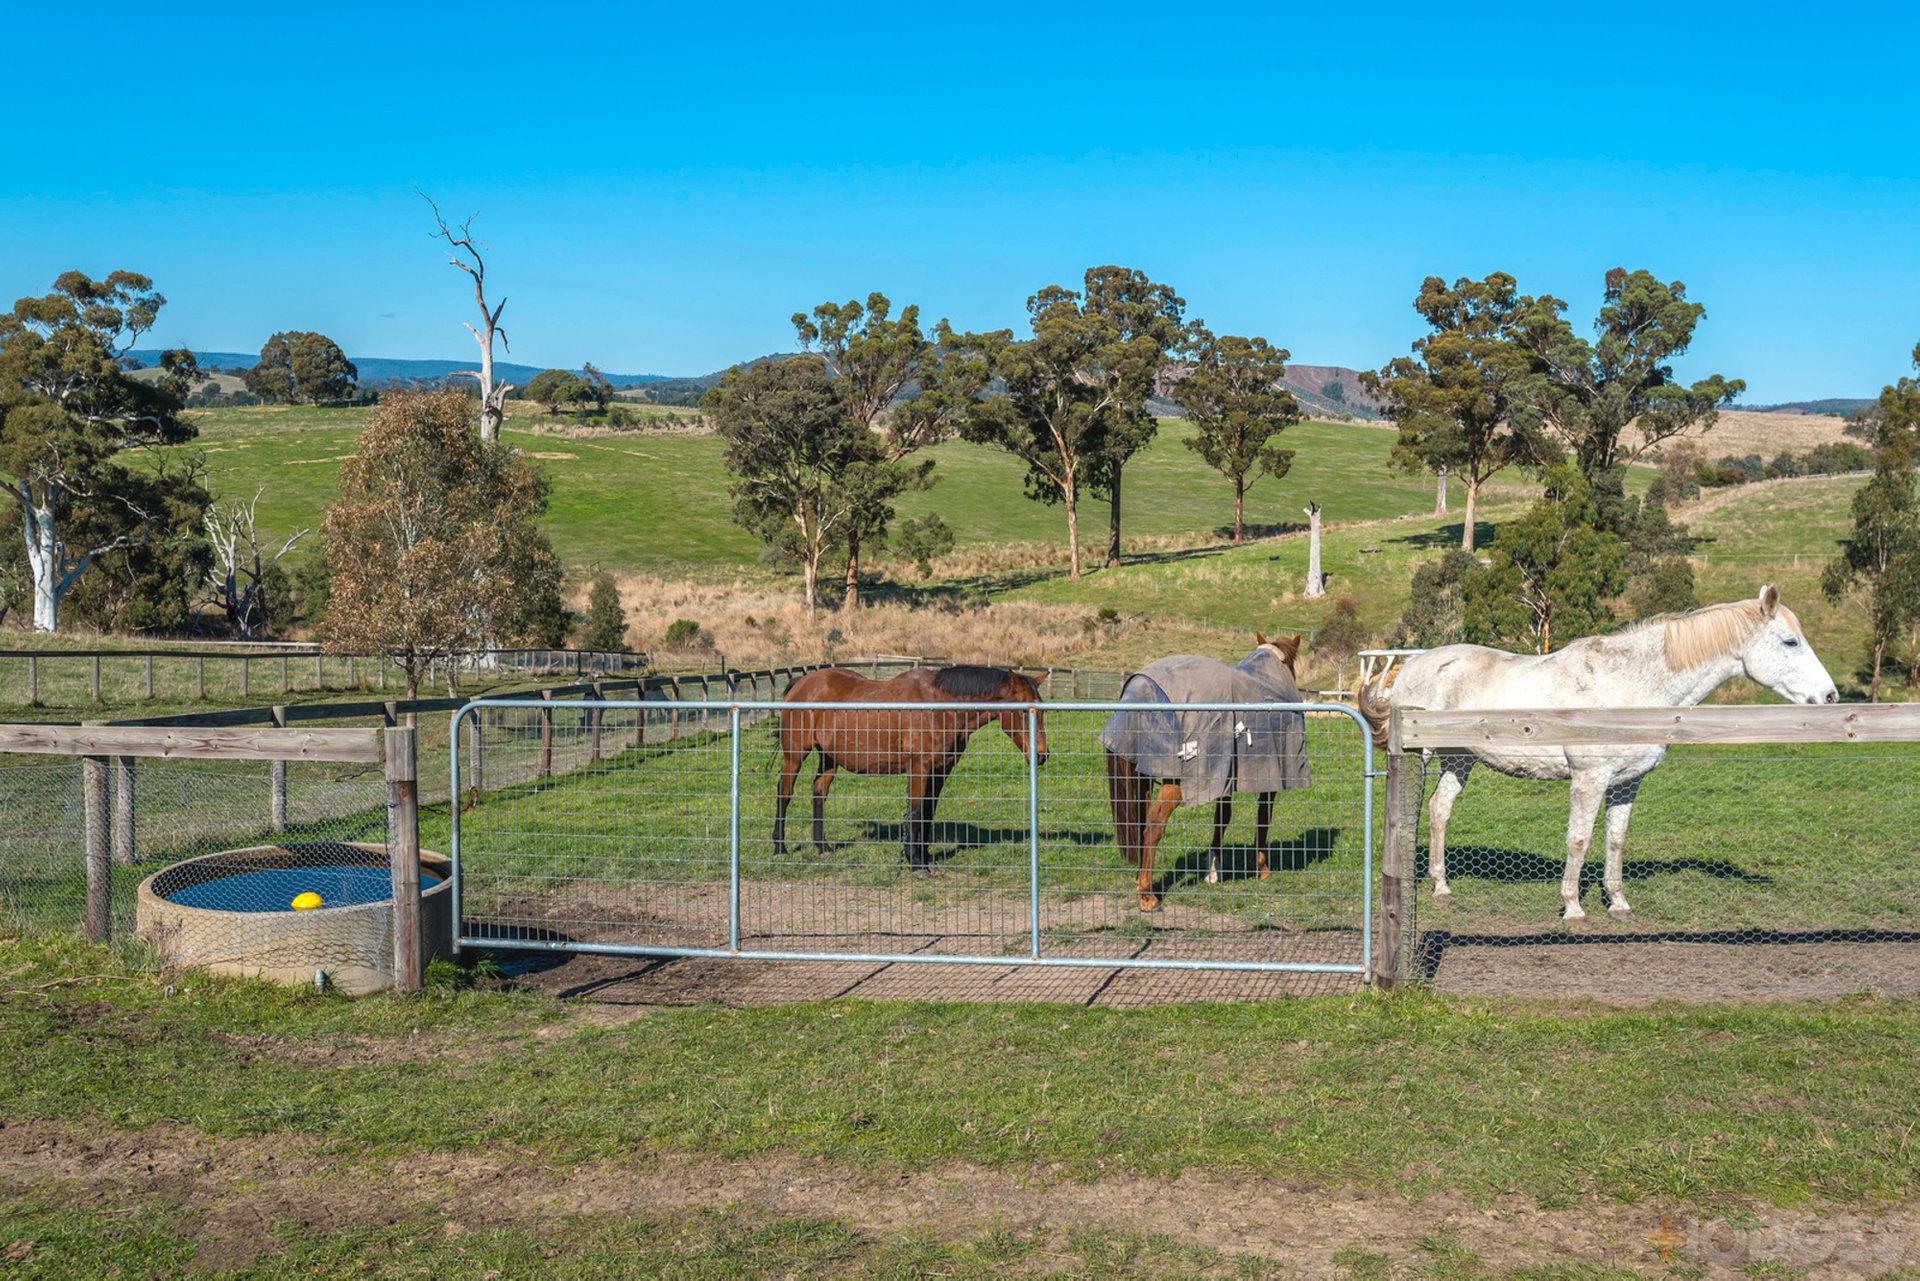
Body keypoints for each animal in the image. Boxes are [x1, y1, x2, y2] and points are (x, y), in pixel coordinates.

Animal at [771, 672, 1052, 871]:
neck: (939, 707)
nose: (1041, 755)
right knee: (784, 793)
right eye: (1021, 711)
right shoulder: (919, 767)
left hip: (829, 757)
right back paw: (780, 848)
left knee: (819, 790)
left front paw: (924, 858)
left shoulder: (940, 770)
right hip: (795, 755)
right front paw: (916, 865)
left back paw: (823, 847)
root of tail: (801, 683)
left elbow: (927, 813)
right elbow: (916, 813)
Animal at [1105, 629, 1313, 910]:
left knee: (1140, 826)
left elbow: (1221, 818)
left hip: (1143, 776)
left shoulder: (1225, 779)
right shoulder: (1270, 779)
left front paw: (1213, 871)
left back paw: (1141, 880)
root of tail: (1140, 690)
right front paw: (1262, 869)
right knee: (1153, 827)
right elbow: (1263, 820)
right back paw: (1147, 896)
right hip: (1176, 784)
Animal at [1359, 591, 1835, 921]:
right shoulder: (1589, 778)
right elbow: (1579, 838)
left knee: (1439, 810)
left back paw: (1441, 887)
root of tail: (1411, 666)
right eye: (1790, 642)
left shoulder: (1627, 782)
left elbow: (1615, 839)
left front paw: (1618, 902)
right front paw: (1573, 907)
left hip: (1460, 759)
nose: (1829, 696)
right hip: (1421, 755)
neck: (1630, 686)